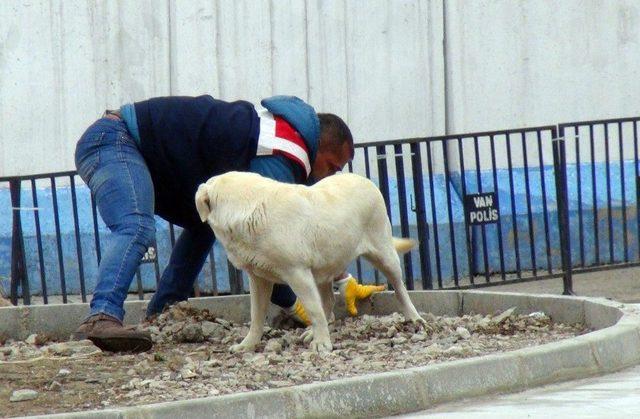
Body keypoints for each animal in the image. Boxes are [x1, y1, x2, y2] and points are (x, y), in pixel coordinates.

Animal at [195, 172, 424, 352]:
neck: (251, 210)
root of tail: (364, 179)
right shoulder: (259, 279)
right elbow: (257, 315)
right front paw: (248, 344)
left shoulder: (297, 272)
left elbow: (313, 309)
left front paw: (322, 344)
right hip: (324, 268)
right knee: (328, 301)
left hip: (384, 253)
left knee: (399, 287)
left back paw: (414, 318)